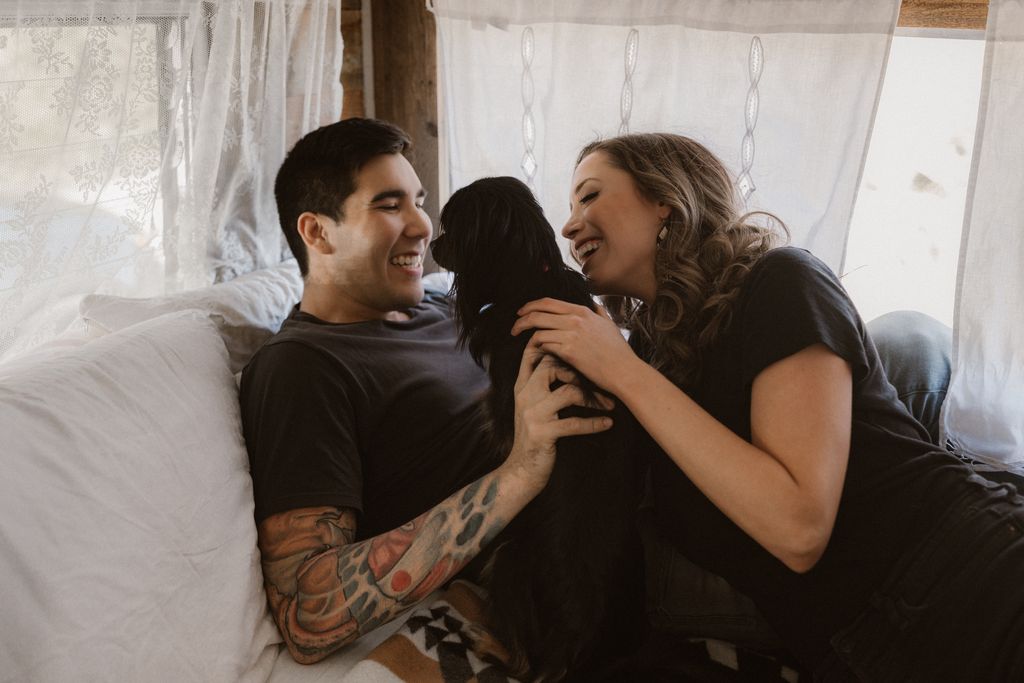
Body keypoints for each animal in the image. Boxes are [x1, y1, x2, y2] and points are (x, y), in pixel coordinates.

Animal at [434, 175, 647, 679]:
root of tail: (573, 639)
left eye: (449, 227)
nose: (430, 244)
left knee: (521, 663)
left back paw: (483, 640)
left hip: (507, 557)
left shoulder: (505, 413)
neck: (531, 276)